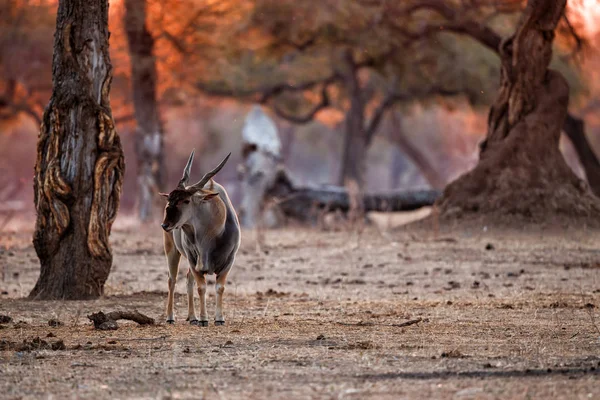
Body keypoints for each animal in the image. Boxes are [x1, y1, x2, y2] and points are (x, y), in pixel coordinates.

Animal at [162, 150, 244, 324]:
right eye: (170, 199)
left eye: (186, 200)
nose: (165, 225)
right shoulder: (194, 260)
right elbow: (202, 287)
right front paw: (204, 319)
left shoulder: (229, 260)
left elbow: (219, 287)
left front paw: (219, 318)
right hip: (172, 250)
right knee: (172, 280)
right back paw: (171, 317)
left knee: (188, 279)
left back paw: (192, 317)